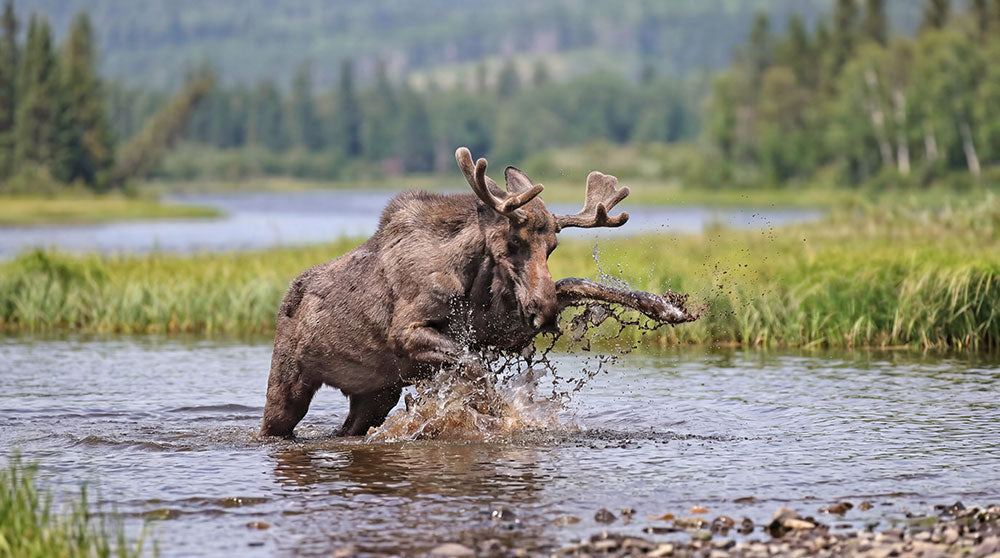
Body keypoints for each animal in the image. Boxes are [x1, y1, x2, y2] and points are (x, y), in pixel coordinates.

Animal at [260, 147, 694, 438]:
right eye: (513, 243)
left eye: (552, 247)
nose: (544, 312)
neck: (470, 278)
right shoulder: (407, 332)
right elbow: (473, 366)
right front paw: (497, 415)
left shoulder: (501, 329)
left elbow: (579, 283)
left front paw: (668, 307)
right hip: (289, 382)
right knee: (273, 425)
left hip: (376, 394)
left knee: (348, 428)